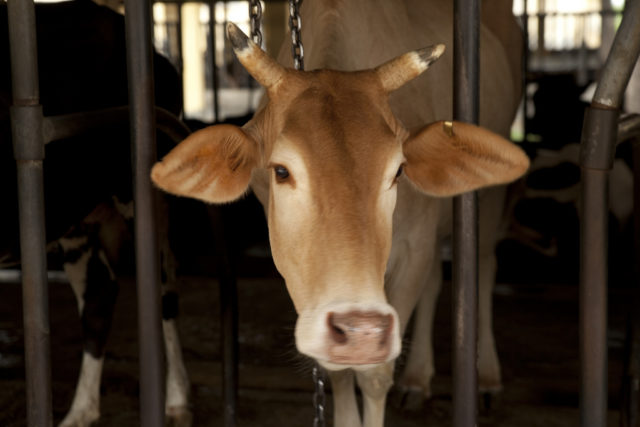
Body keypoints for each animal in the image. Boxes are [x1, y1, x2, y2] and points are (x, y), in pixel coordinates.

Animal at [0, 1, 190, 426]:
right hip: (74, 216)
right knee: (101, 293)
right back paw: (80, 412)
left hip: (141, 193)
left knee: (164, 289)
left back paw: (176, 400)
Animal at [151, 1, 524, 426]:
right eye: (281, 171)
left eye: (398, 171)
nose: (360, 328)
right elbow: (339, 373)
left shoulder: (412, 249)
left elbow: (374, 375)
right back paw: (417, 379)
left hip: (488, 200)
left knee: (484, 266)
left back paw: (487, 376)